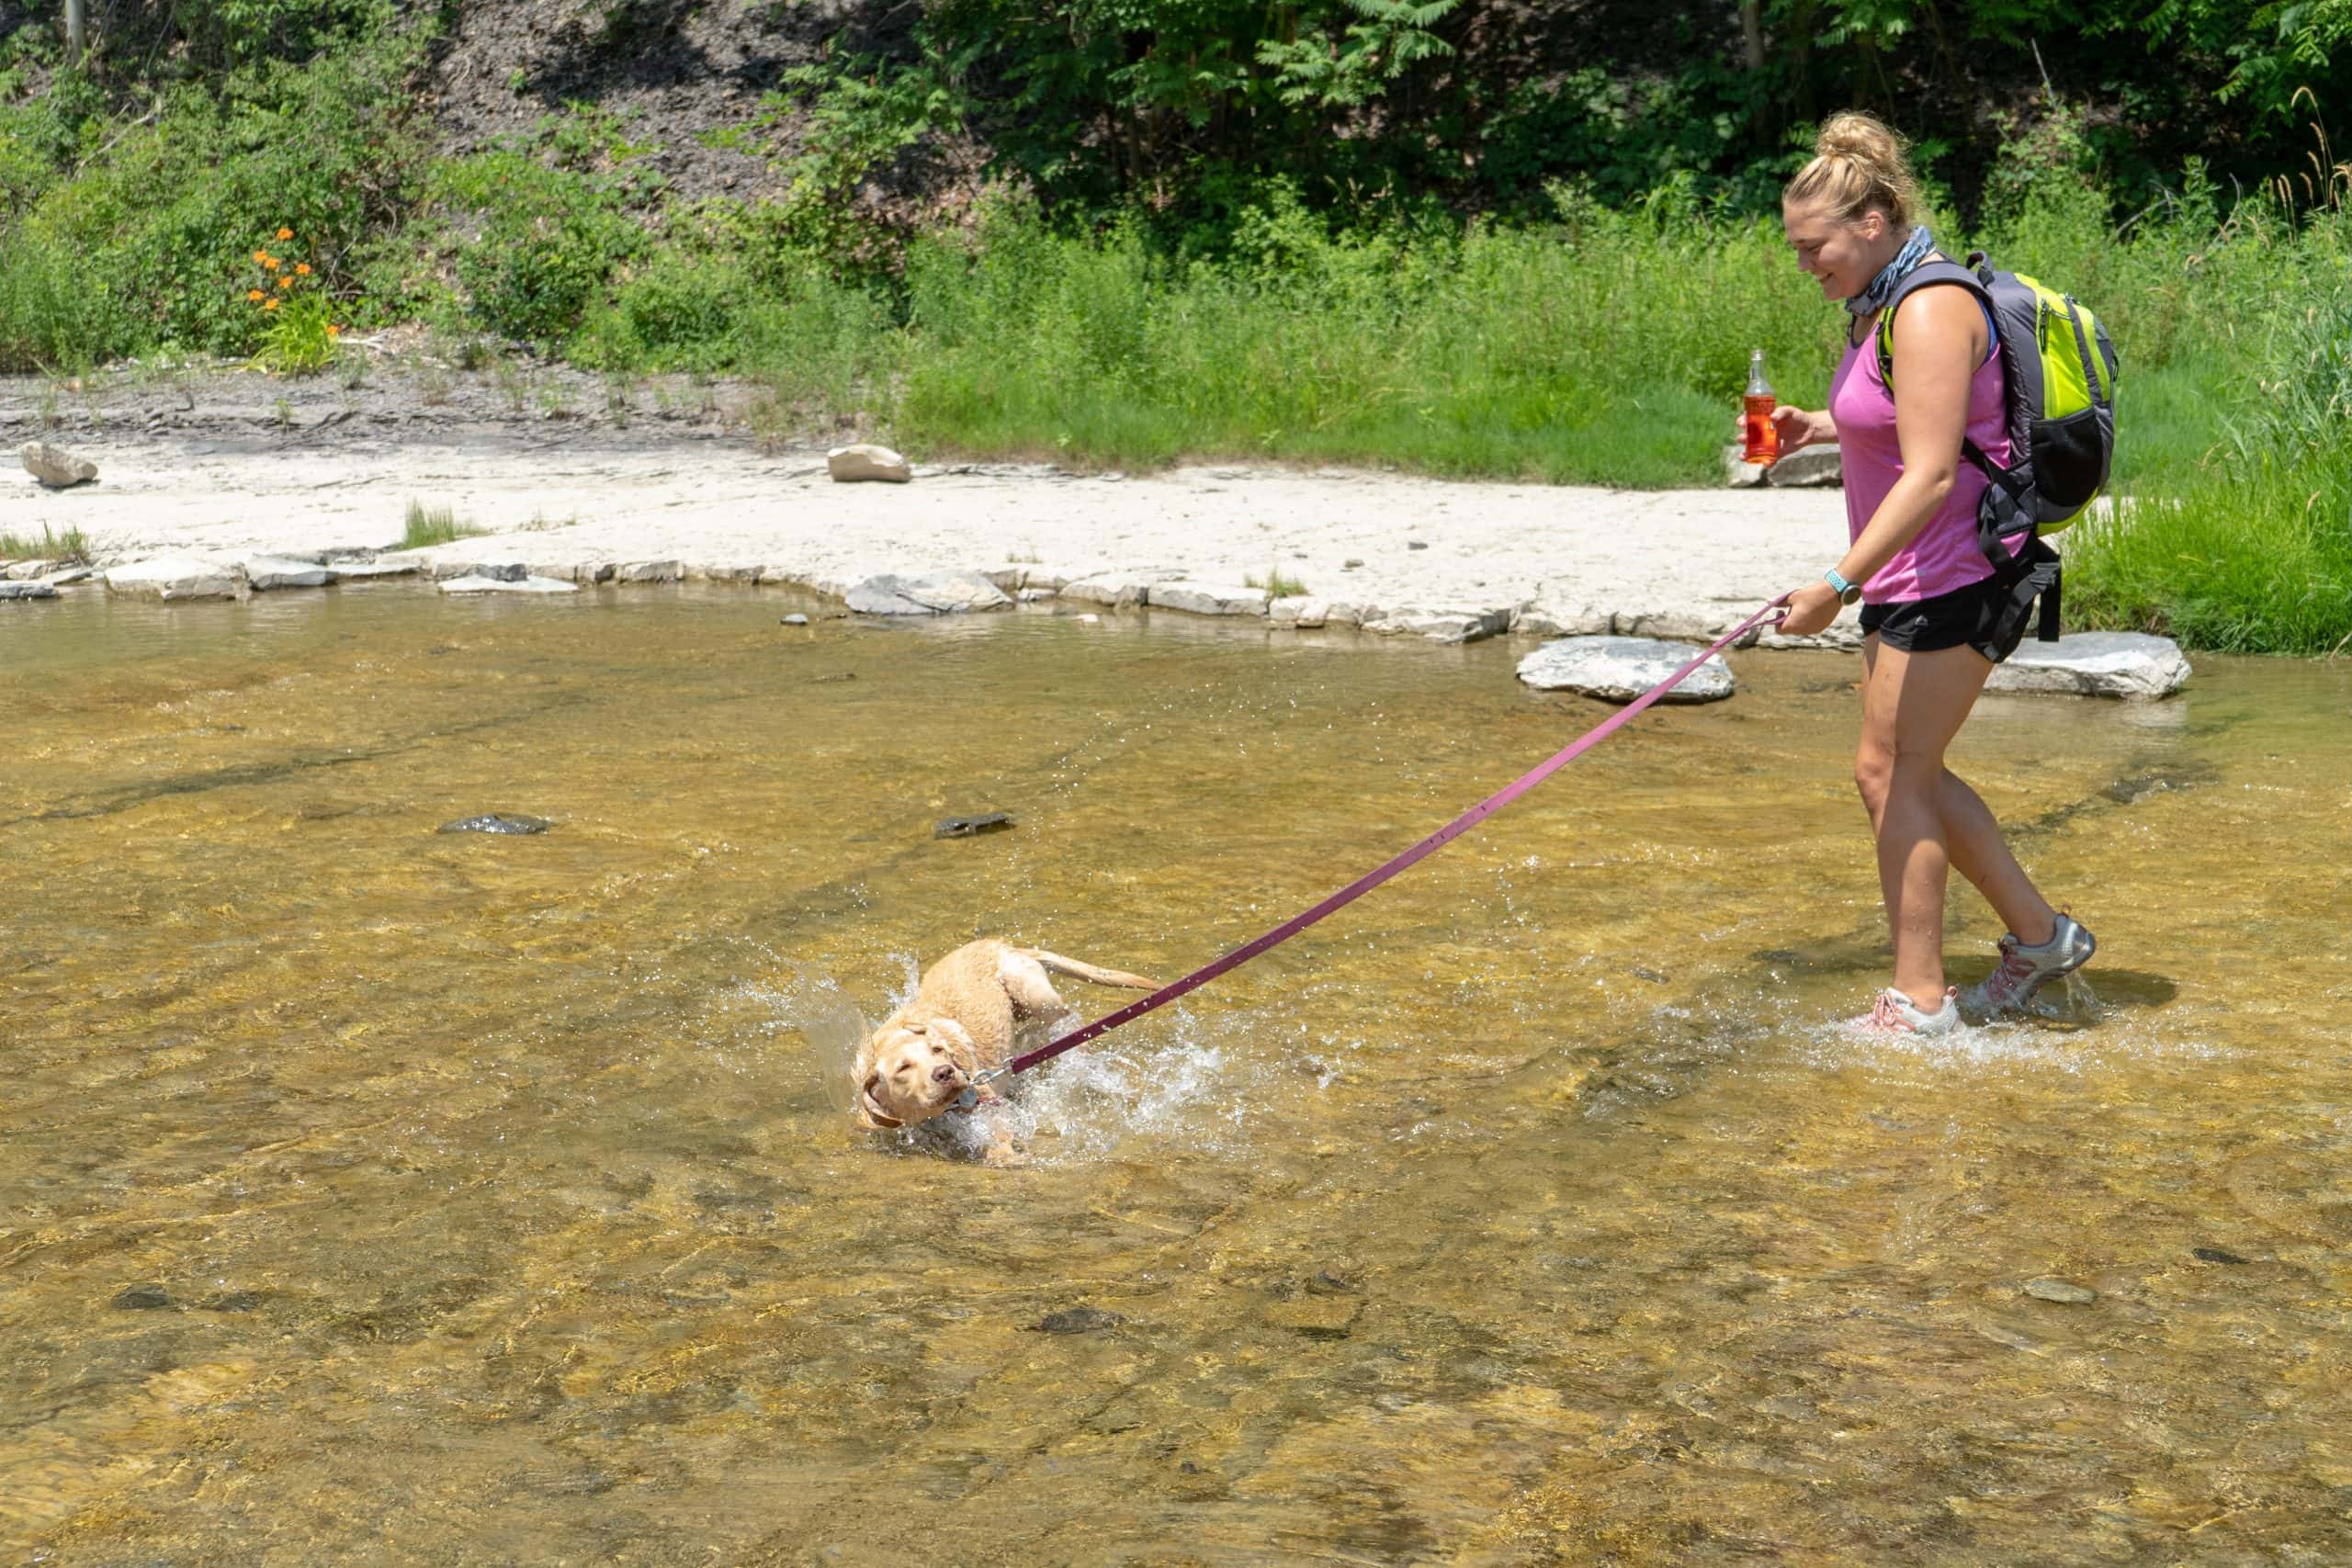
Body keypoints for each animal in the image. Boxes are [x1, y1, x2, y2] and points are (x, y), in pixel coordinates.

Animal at [860, 940, 1161, 1161]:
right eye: (903, 1068)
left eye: (938, 1050)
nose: (945, 1072)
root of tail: (1002, 944)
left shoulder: (991, 1105)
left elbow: (1000, 1139)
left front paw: (1006, 1157)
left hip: (1031, 993)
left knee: (1064, 1015)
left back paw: (1034, 1038)